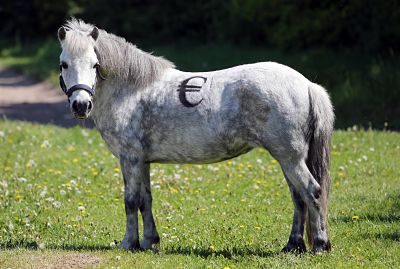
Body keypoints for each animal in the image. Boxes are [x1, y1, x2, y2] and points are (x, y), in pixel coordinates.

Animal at [57, 18, 334, 253]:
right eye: (64, 64)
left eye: (95, 64)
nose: (80, 105)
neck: (130, 90)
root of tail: (307, 84)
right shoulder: (143, 161)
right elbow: (146, 200)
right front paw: (149, 241)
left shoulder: (130, 159)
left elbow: (131, 201)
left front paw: (129, 243)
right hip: (288, 160)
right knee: (298, 198)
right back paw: (293, 246)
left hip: (290, 159)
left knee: (312, 192)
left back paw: (320, 245)